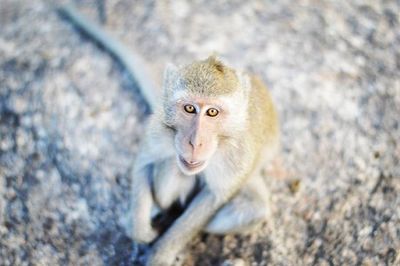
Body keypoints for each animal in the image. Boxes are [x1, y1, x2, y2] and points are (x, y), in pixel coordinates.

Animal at [130, 55, 280, 264]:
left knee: (254, 209)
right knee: (173, 166)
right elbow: (144, 162)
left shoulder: (238, 155)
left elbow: (214, 196)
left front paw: (161, 254)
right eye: (189, 108)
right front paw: (140, 230)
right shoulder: (159, 127)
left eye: (212, 112)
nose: (195, 142)